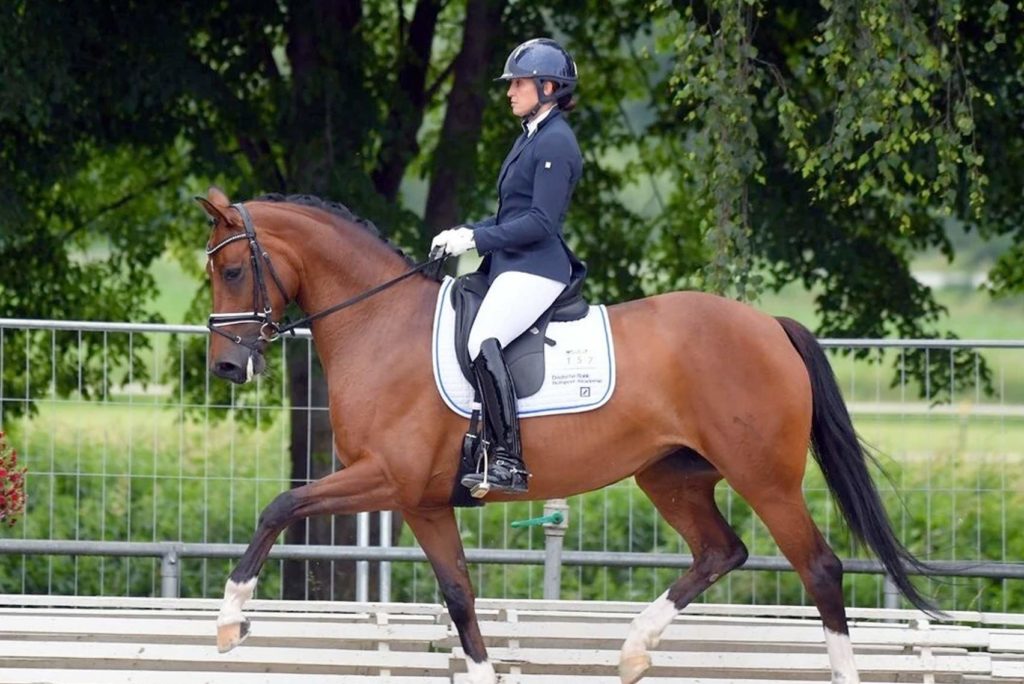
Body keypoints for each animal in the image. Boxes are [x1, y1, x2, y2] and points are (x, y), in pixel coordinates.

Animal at [197, 187, 935, 684]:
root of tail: (768, 325)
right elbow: (460, 598)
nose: (228, 368)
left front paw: (230, 621)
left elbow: (280, 506)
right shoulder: (422, 501)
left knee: (820, 569)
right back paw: (634, 648)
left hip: (764, 477)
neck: (379, 323)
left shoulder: (385, 477)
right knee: (721, 552)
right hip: (671, 475)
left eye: (232, 271)